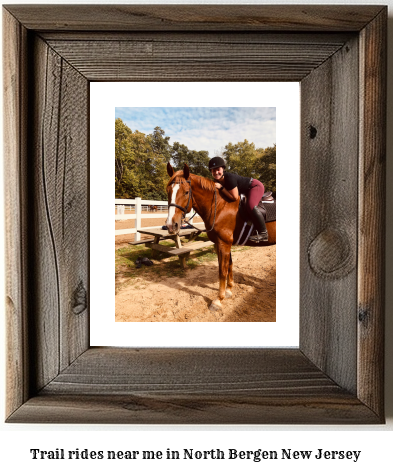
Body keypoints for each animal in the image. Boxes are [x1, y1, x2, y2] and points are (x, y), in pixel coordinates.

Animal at [165, 163, 276, 312]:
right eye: (168, 191)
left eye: (186, 192)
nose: (171, 225)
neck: (220, 206)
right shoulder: (220, 244)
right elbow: (229, 265)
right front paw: (229, 290)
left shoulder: (224, 243)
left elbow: (222, 271)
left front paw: (218, 300)